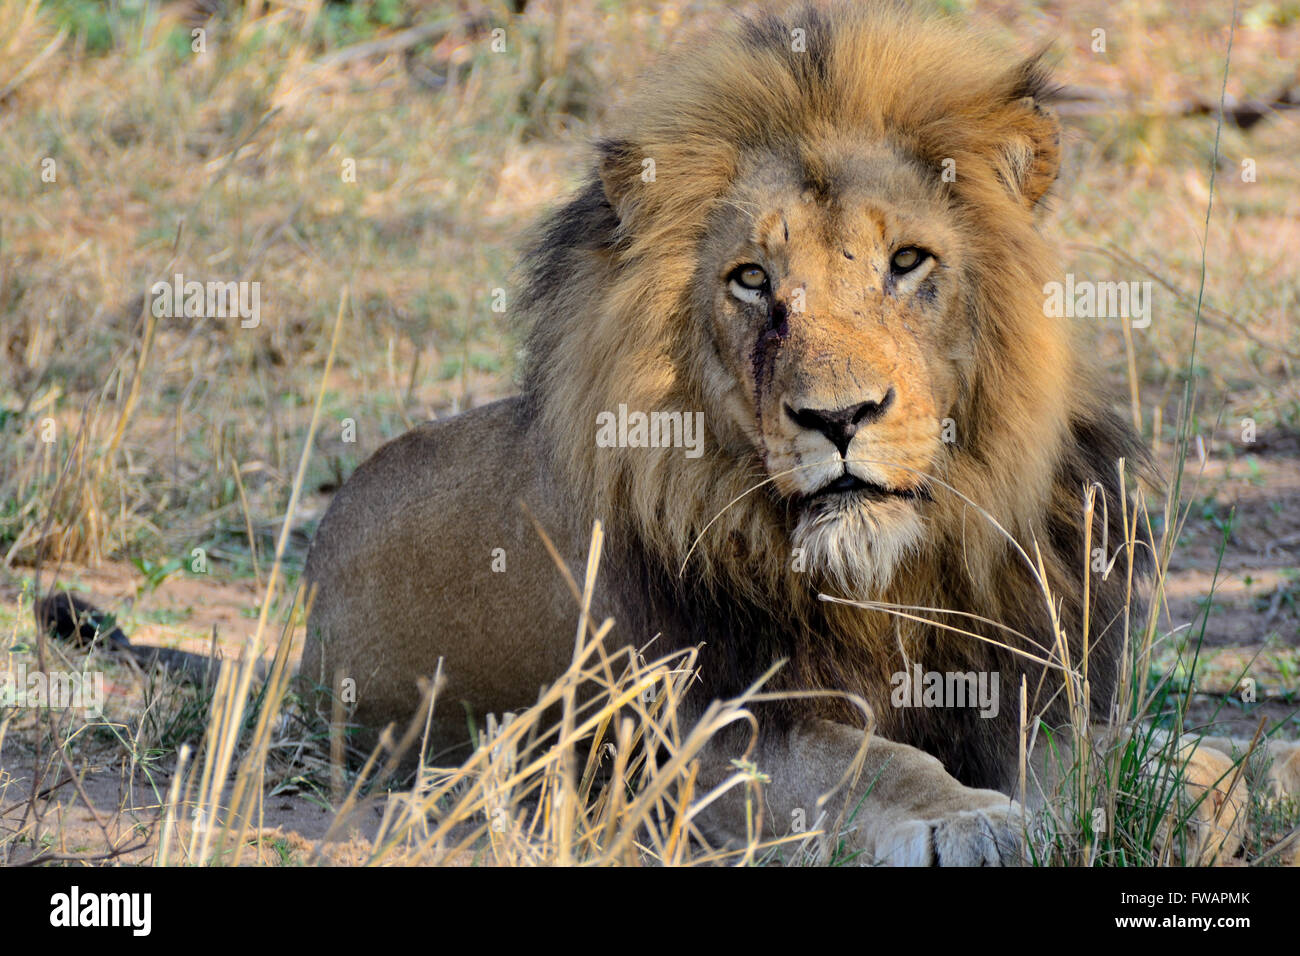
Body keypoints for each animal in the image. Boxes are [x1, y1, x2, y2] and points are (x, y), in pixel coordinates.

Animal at [297, 1, 1149, 868]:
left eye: (907, 262)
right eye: (751, 279)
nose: (838, 418)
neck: (889, 581)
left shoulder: (1042, 683)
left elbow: (1115, 755)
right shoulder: (702, 732)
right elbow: (870, 761)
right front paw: (967, 816)